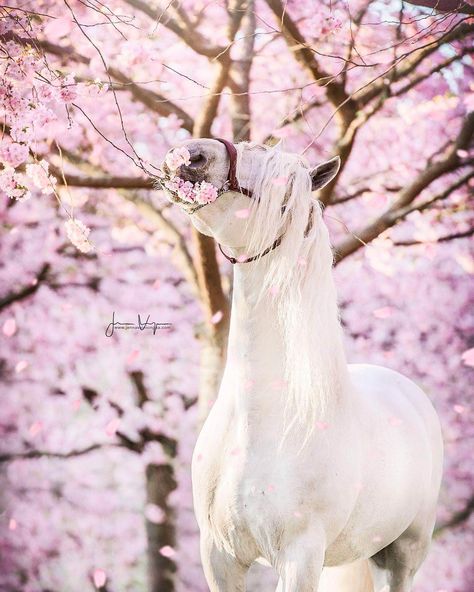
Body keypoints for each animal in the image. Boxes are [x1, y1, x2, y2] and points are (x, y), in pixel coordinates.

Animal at [161, 140, 442, 592]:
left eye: (280, 186)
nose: (191, 153)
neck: (261, 421)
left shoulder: (300, 556)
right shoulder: (218, 557)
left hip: (402, 554)